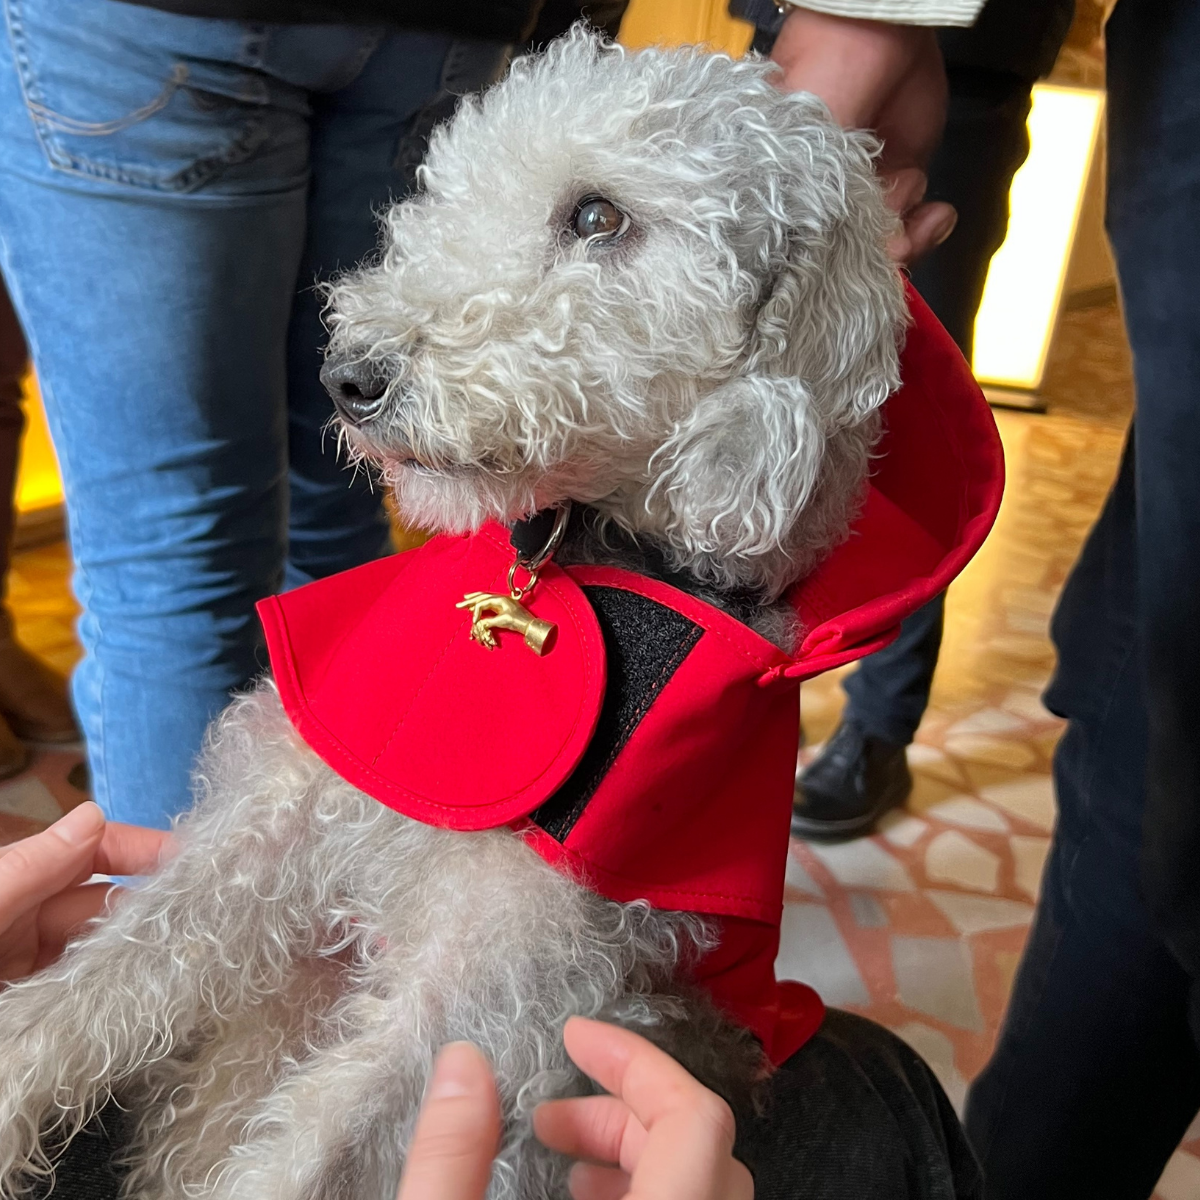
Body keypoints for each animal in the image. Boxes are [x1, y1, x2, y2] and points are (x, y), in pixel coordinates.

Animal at [0, 28, 902, 1200]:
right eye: (444, 188)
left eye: (598, 216)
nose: (347, 377)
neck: (579, 559)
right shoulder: (278, 826)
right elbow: (86, 994)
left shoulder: (498, 982)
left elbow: (315, 1147)